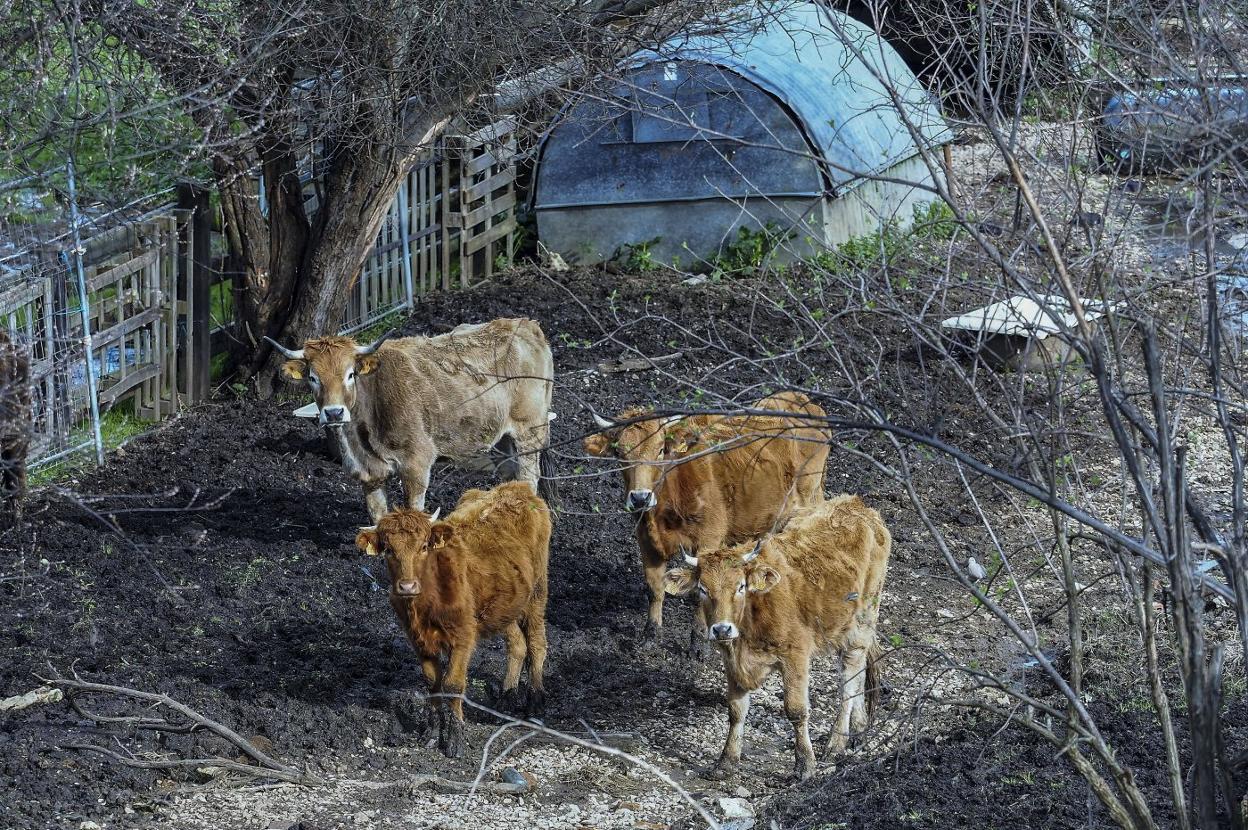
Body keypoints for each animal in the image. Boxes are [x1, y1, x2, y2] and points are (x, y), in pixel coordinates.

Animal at [270, 317, 559, 519]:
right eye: (313, 377)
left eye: (350, 374)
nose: (333, 412)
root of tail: (525, 325)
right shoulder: (368, 472)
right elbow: (377, 513)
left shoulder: (416, 464)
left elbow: (413, 510)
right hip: (503, 440)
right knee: (511, 476)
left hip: (530, 431)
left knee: (529, 477)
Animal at [351, 479, 546, 758]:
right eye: (388, 549)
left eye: (423, 547)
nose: (407, 586)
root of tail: (515, 487)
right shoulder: (418, 640)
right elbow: (432, 683)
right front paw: (431, 733)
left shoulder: (463, 636)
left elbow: (453, 684)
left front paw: (455, 739)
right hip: (505, 604)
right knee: (517, 644)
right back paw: (507, 698)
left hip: (538, 590)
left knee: (537, 642)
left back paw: (535, 701)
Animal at [668, 494, 893, 778]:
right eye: (702, 589)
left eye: (740, 586)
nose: (721, 629)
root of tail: (855, 504)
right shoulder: (731, 660)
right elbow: (736, 710)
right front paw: (727, 760)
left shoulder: (795, 655)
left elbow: (796, 710)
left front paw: (805, 764)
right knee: (859, 672)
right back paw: (859, 729)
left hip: (863, 620)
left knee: (850, 680)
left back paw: (836, 743)